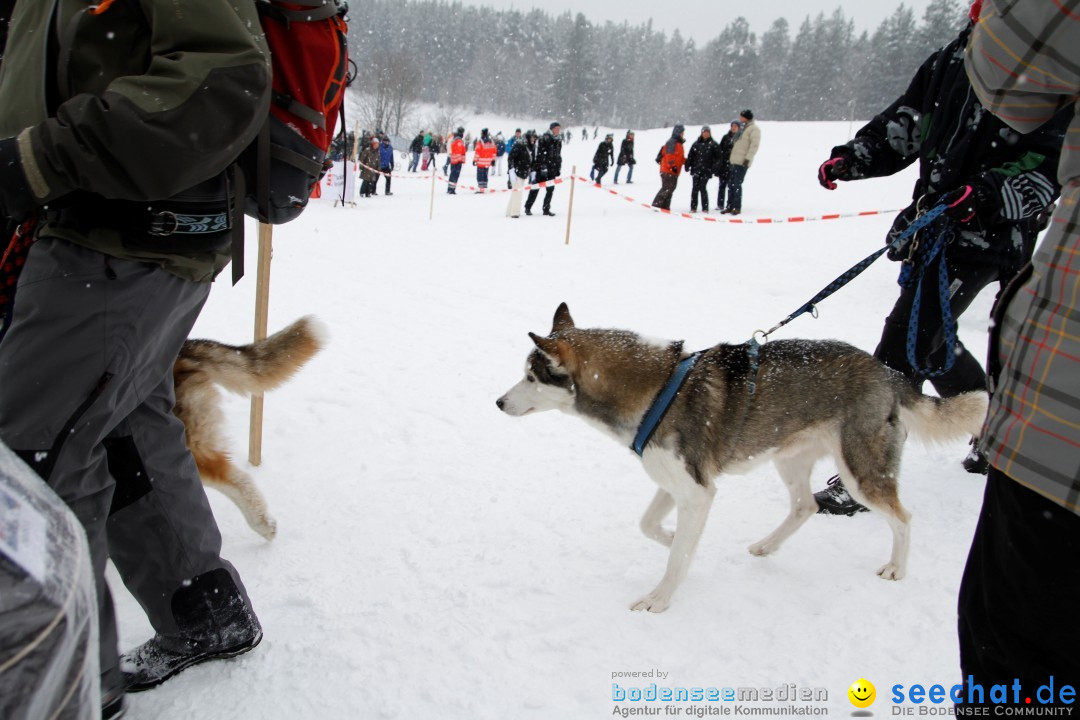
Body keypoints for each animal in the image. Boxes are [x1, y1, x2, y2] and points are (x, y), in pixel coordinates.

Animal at [496, 304, 989, 613]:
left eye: (530, 376)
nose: (499, 403)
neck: (654, 391)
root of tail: (887, 371)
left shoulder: (698, 490)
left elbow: (673, 557)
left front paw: (661, 597)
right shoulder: (678, 483)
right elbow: (651, 526)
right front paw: (674, 538)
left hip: (860, 472)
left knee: (902, 517)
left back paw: (897, 568)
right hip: (789, 459)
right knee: (805, 505)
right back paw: (768, 545)